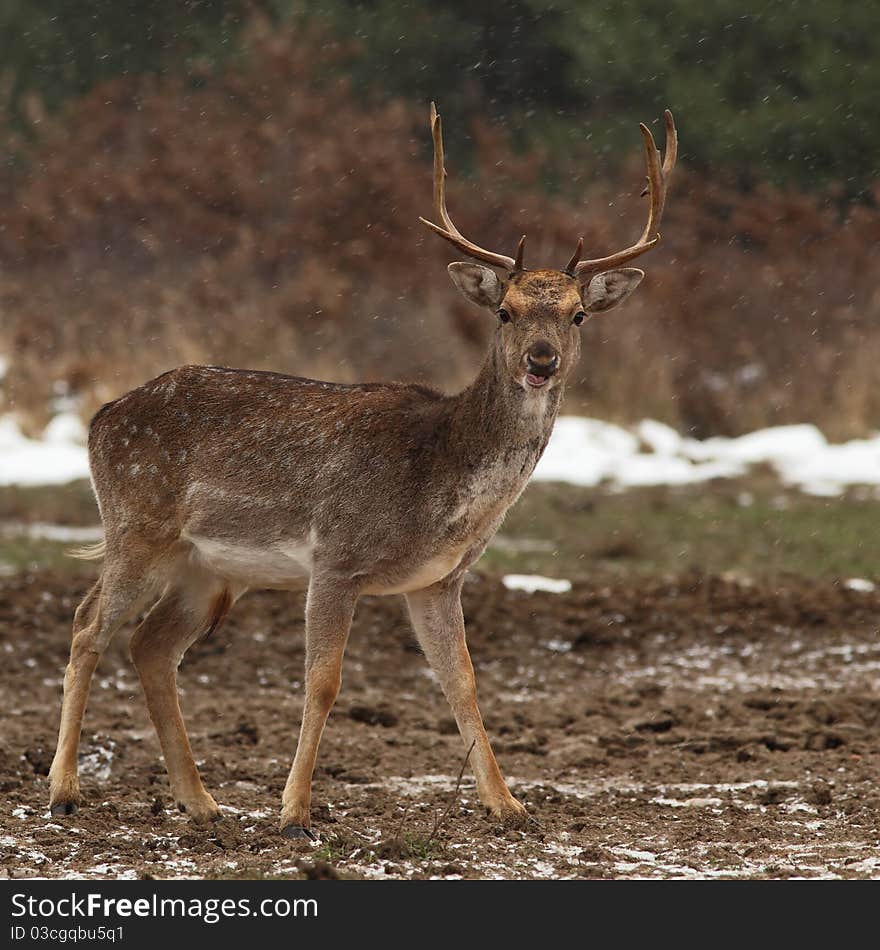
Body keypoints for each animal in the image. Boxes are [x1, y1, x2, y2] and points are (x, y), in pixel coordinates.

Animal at [48, 102, 676, 832]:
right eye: (505, 311)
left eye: (577, 315)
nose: (540, 359)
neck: (442, 487)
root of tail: (100, 417)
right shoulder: (337, 556)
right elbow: (324, 682)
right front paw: (294, 809)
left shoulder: (438, 581)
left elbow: (463, 682)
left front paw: (508, 804)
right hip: (136, 525)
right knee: (88, 625)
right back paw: (65, 789)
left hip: (207, 568)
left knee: (149, 645)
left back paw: (200, 800)